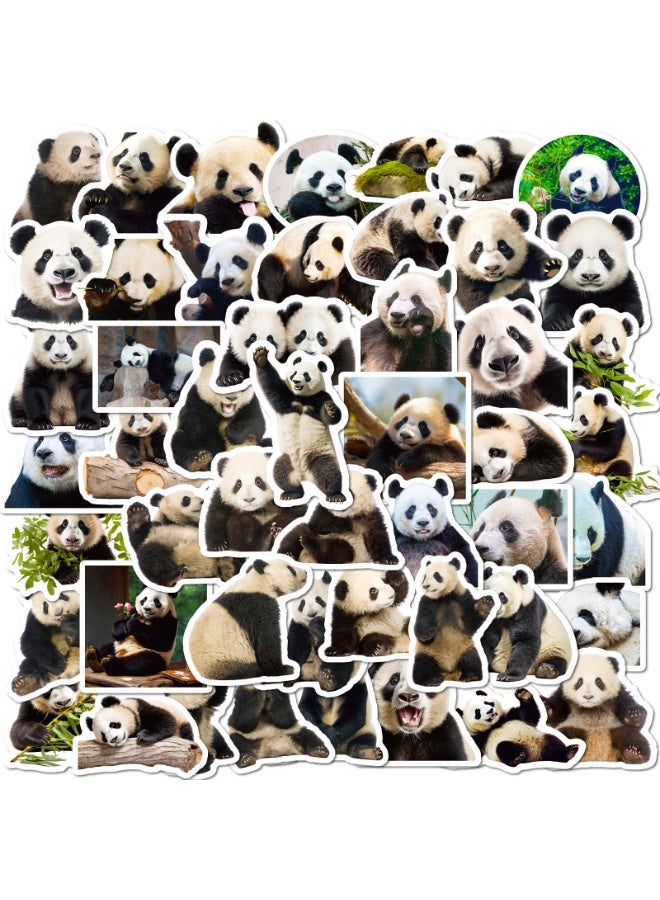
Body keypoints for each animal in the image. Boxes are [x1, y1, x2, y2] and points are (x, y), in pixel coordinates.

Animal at [168, 343, 266, 473]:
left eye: (240, 385)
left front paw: (232, 432)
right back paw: (199, 460)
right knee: (179, 438)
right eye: (220, 382)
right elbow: (200, 430)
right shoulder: (198, 400)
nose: (232, 398)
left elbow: (256, 423)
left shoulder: (249, 402)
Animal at [251, 346, 349, 506]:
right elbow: (273, 388)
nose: (296, 381)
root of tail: (304, 475)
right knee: (280, 471)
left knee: (328, 472)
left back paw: (335, 495)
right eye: (294, 374)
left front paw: (331, 410)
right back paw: (291, 493)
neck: (303, 398)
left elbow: (332, 417)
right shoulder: (289, 398)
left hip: (319, 454)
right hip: (288, 458)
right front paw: (261, 357)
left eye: (306, 375)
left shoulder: (321, 397)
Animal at [410, 555, 494, 688]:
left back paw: (471, 675)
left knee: (473, 658)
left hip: (464, 648)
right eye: (424, 576)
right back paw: (430, 680)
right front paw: (428, 633)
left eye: (436, 575)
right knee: (422, 663)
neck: (444, 596)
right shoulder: (427, 601)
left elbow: (469, 625)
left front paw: (484, 605)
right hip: (428, 652)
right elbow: (421, 621)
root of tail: (449, 673)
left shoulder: (462, 597)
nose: (426, 586)